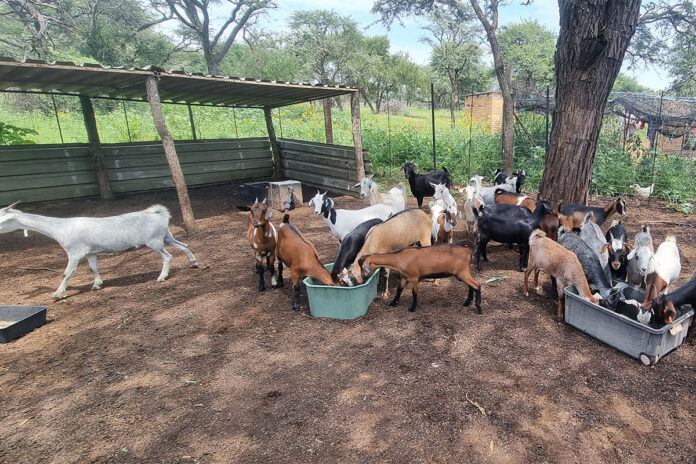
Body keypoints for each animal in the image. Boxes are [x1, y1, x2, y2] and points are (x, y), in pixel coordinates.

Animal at [0, 201, 198, 300]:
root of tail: (160, 215)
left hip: (154, 241)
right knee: (184, 246)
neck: (60, 228)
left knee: (168, 256)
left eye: (2, 220)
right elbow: (93, 268)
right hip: (166, 236)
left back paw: (162, 276)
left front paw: (56, 294)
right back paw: (194, 263)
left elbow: (66, 273)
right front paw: (97, 284)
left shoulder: (75, 252)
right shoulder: (90, 252)